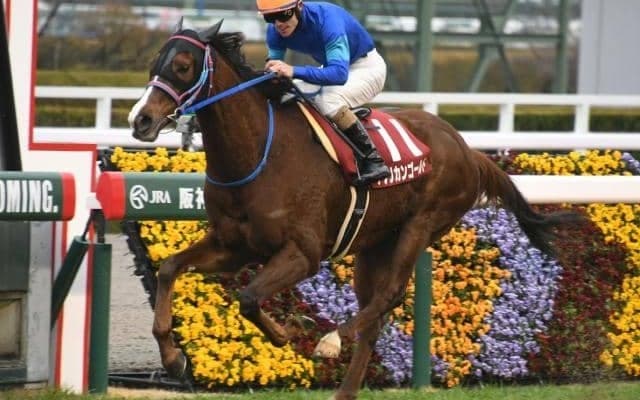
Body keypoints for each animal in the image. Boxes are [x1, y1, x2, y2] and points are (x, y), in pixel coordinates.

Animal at [128, 20, 581, 399]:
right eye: (153, 64)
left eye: (183, 66)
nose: (140, 120)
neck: (259, 154)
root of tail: (467, 149)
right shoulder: (234, 245)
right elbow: (170, 269)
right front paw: (173, 358)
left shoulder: (304, 254)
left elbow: (250, 297)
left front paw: (291, 331)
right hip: (374, 244)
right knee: (375, 312)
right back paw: (344, 389)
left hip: (421, 225)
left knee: (388, 296)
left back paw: (332, 340)